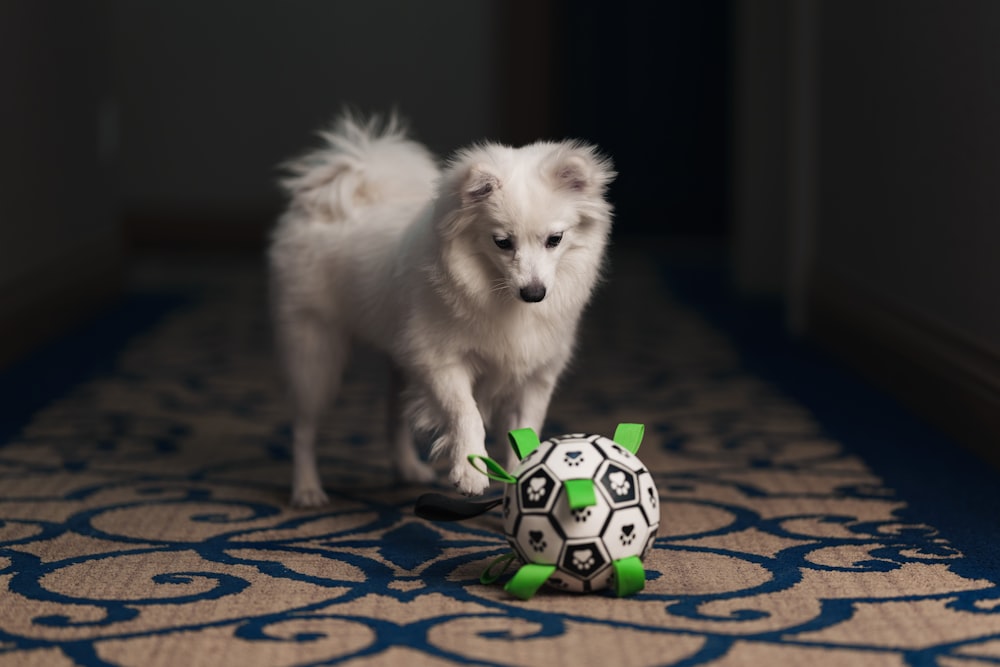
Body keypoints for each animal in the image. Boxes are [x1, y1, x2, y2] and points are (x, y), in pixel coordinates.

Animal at [272, 113, 616, 506]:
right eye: (502, 243)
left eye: (554, 240)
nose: (534, 293)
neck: (500, 295)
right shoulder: (438, 360)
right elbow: (466, 412)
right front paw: (469, 472)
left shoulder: (534, 377)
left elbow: (526, 434)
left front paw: (522, 485)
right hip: (315, 354)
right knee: (304, 427)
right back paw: (307, 488)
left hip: (398, 360)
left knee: (393, 415)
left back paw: (407, 468)